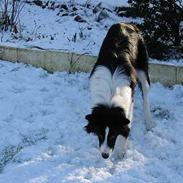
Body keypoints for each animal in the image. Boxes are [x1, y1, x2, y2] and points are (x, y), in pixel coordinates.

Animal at [84, 22, 153, 159]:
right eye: (100, 135)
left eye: (112, 136)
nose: (105, 155)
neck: (110, 99)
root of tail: (126, 23)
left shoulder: (129, 101)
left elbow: (126, 126)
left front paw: (120, 151)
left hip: (142, 66)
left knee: (146, 92)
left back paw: (149, 122)